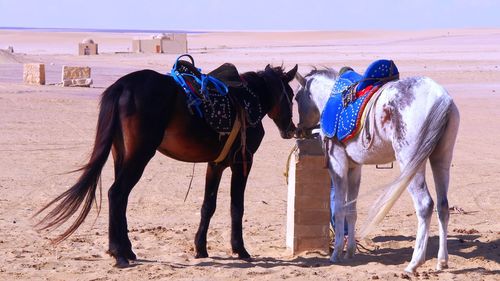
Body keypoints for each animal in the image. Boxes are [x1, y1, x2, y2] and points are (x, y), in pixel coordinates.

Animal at [37, 62, 298, 266]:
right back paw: (118, 254)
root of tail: (123, 86)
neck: (247, 100)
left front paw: (201, 248)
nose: (291, 129)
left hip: (121, 155)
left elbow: (208, 205)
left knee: (120, 198)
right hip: (140, 155)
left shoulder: (215, 164)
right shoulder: (243, 161)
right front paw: (240, 249)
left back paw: (126, 250)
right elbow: (237, 206)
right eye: (292, 95)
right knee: (116, 193)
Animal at [294, 67, 458, 272]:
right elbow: (351, 210)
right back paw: (442, 261)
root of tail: (441, 98)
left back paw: (414, 263)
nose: (299, 130)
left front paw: (336, 253)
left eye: (296, 98)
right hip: (441, 159)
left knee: (425, 205)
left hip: (411, 163)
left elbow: (339, 208)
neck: (329, 97)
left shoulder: (337, 164)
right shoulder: (354, 168)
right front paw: (350, 251)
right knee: (442, 206)